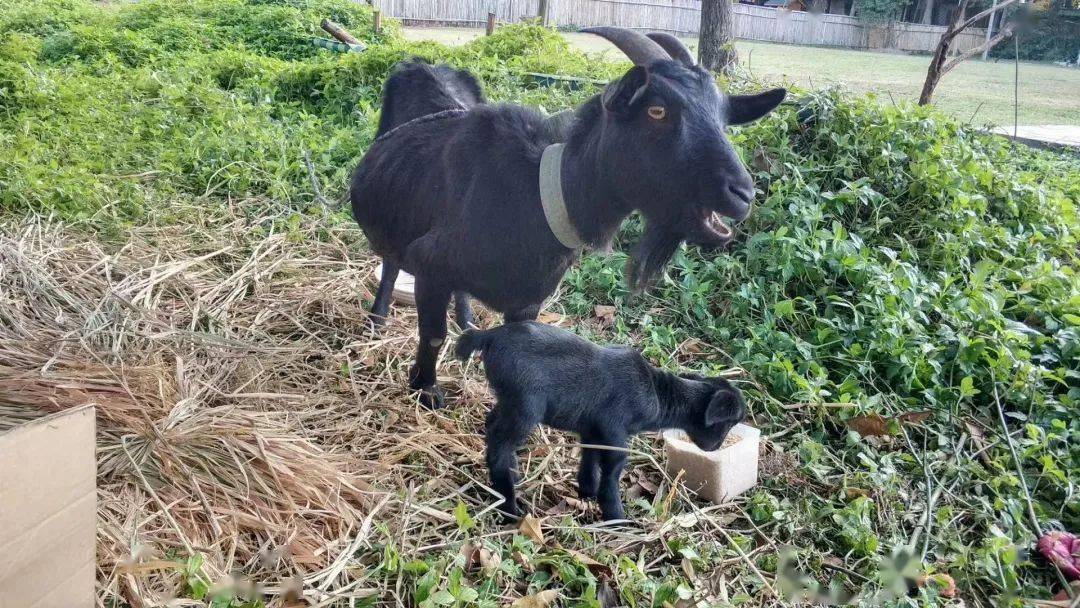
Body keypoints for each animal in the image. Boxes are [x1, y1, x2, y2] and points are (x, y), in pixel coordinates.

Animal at [354, 29, 786, 408]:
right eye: (657, 111)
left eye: (723, 119)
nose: (742, 194)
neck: (537, 198)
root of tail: (424, 65)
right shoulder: (429, 264)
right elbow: (432, 336)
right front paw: (426, 390)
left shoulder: (528, 298)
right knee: (390, 260)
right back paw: (378, 317)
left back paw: (466, 320)